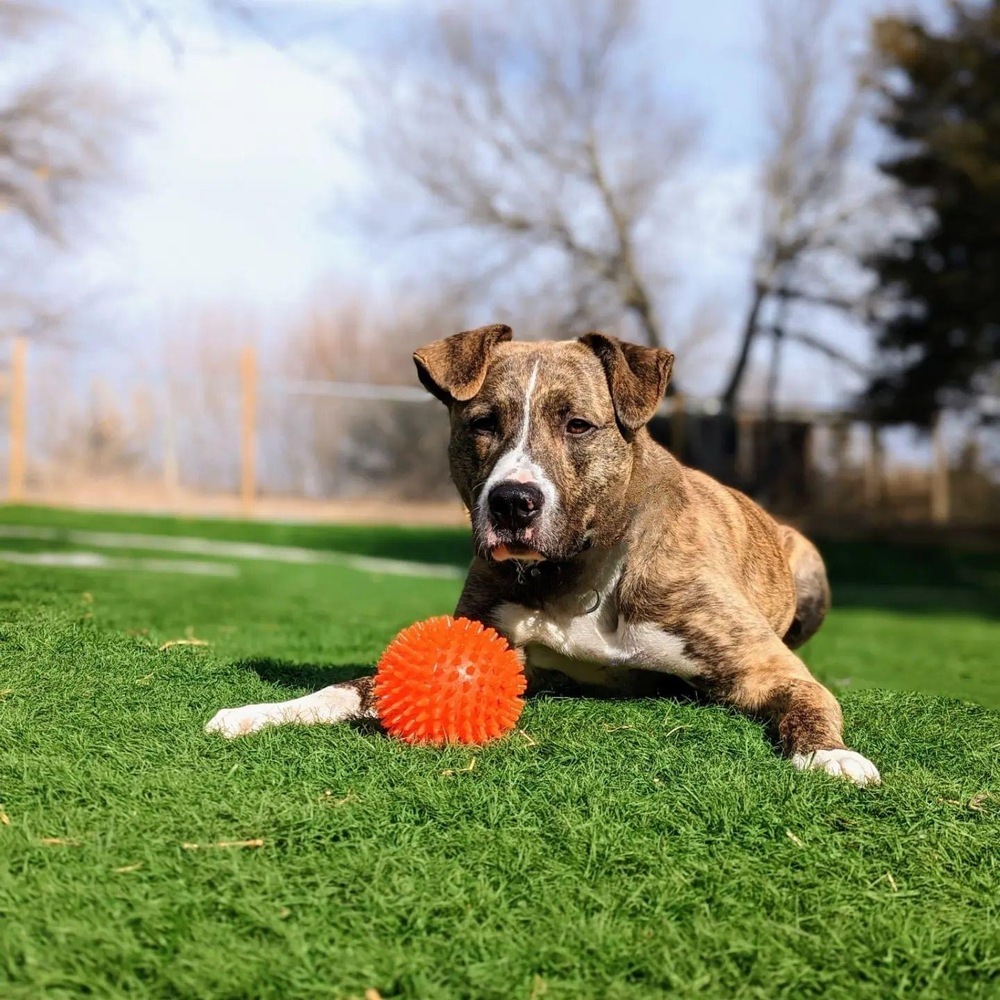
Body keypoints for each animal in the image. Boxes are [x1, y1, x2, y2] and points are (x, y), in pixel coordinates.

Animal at [207, 324, 880, 784]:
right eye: (482, 422)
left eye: (578, 424)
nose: (512, 501)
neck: (581, 571)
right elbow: (350, 686)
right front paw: (263, 711)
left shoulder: (768, 669)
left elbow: (808, 701)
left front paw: (833, 755)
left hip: (810, 566)